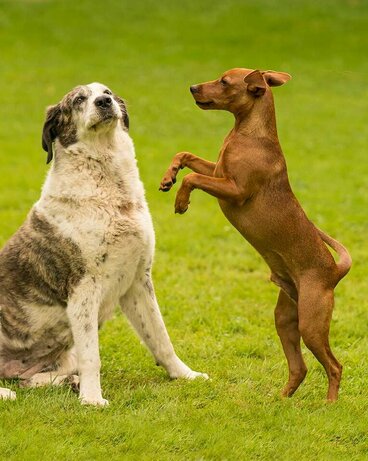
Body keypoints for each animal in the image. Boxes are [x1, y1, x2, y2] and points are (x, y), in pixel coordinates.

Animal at [0, 82, 207, 402]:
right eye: (79, 100)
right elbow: (92, 356)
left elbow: (160, 336)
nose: (104, 102)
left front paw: (185, 375)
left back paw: (66, 382)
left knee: (30, 380)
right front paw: (93, 400)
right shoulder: (83, 290)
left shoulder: (138, 281)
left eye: (106, 92)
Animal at [160, 67, 352, 398]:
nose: (192, 87)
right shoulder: (217, 172)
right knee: (300, 368)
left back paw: (330, 403)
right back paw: (282, 399)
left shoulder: (234, 190)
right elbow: (185, 156)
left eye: (224, 82)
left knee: (334, 366)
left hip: (311, 324)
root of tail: (334, 270)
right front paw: (168, 177)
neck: (247, 134)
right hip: (285, 320)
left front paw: (181, 201)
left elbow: (193, 178)